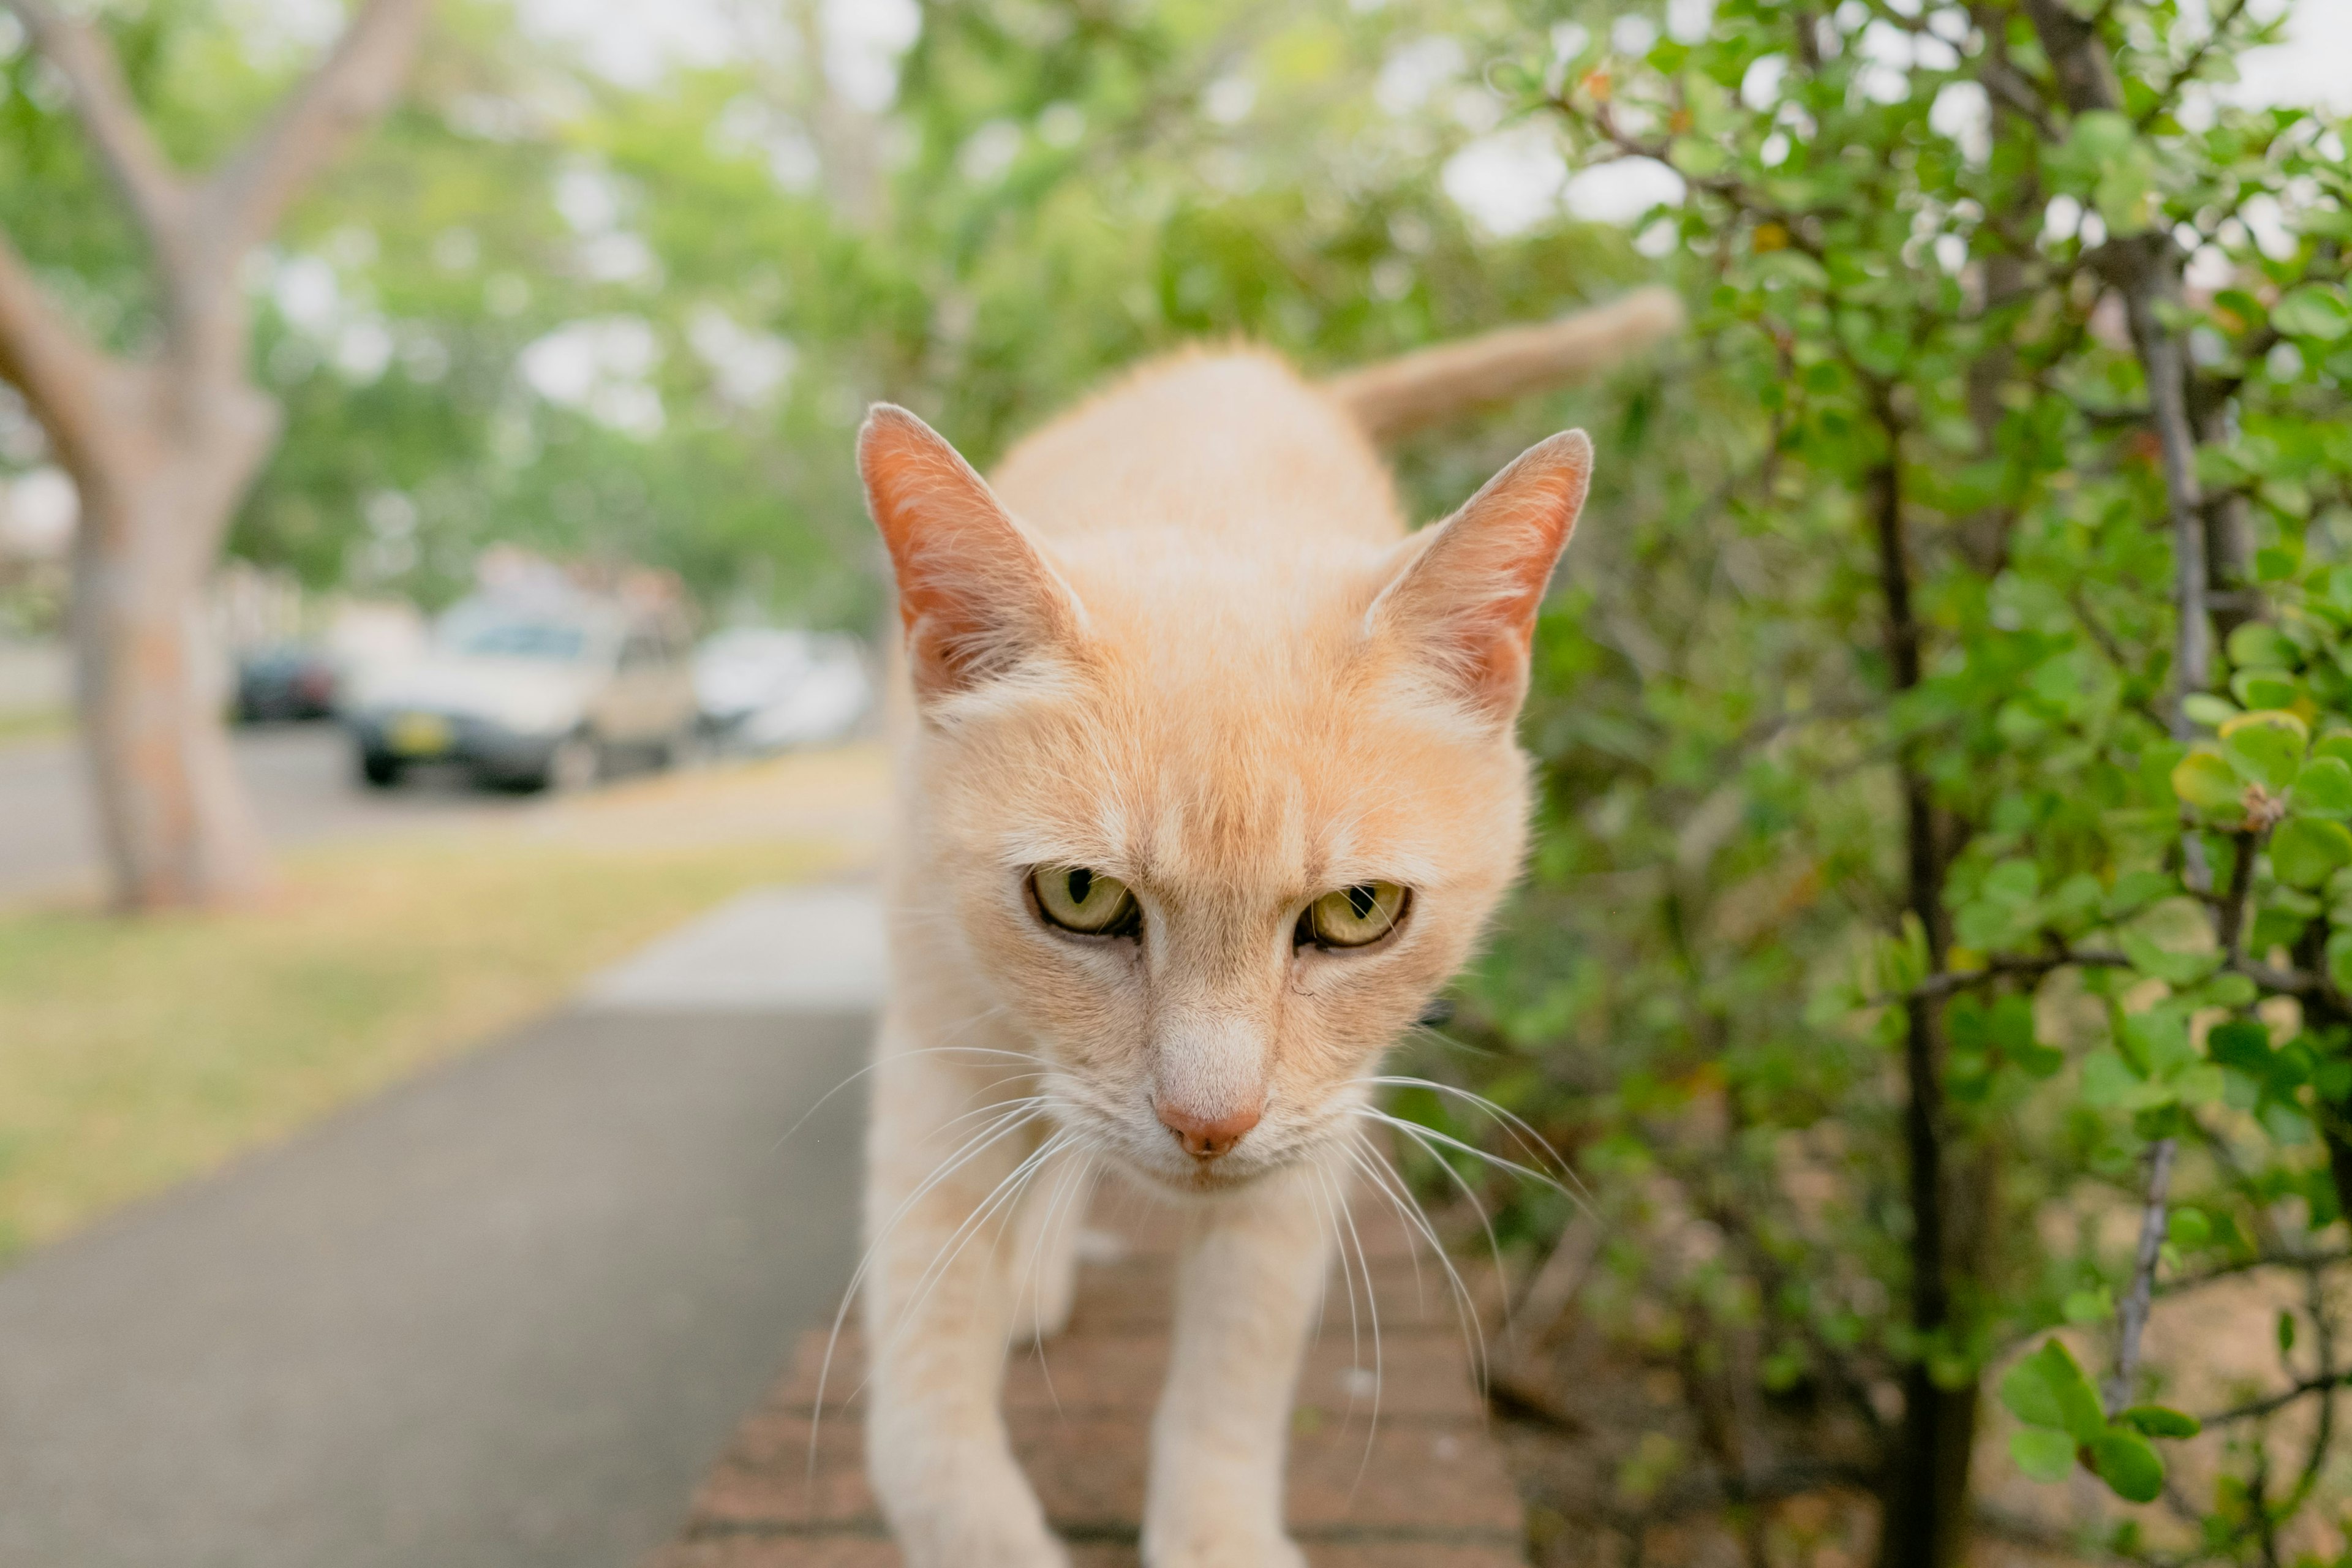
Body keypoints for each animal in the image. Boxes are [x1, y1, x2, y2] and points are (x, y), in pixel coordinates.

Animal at [846, 291, 1675, 1568]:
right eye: (1079, 895)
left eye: (1357, 912)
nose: (1209, 1123)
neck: (1212, 500)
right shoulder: (939, 1039)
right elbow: (927, 1388)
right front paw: (982, 1519)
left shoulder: (1318, 1125)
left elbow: (1236, 1365)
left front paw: (1215, 1530)